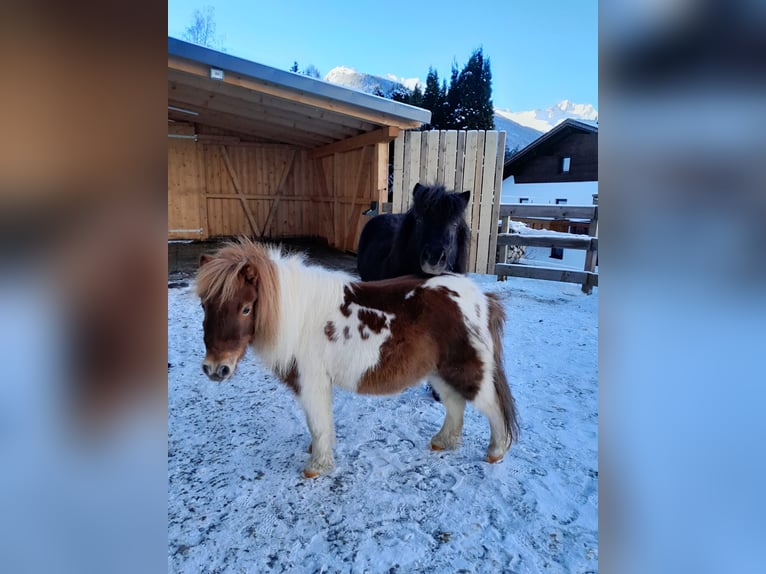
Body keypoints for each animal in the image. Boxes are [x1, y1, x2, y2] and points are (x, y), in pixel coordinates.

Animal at [196, 238, 519, 478]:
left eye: (246, 308)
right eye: (204, 305)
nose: (215, 368)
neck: (298, 317)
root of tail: (483, 299)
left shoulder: (312, 383)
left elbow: (318, 424)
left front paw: (317, 467)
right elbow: (317, 424)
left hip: (467, 370)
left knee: (492, 407)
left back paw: (495, 452)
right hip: (439, 371)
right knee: (454, 404)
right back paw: (442, 442)